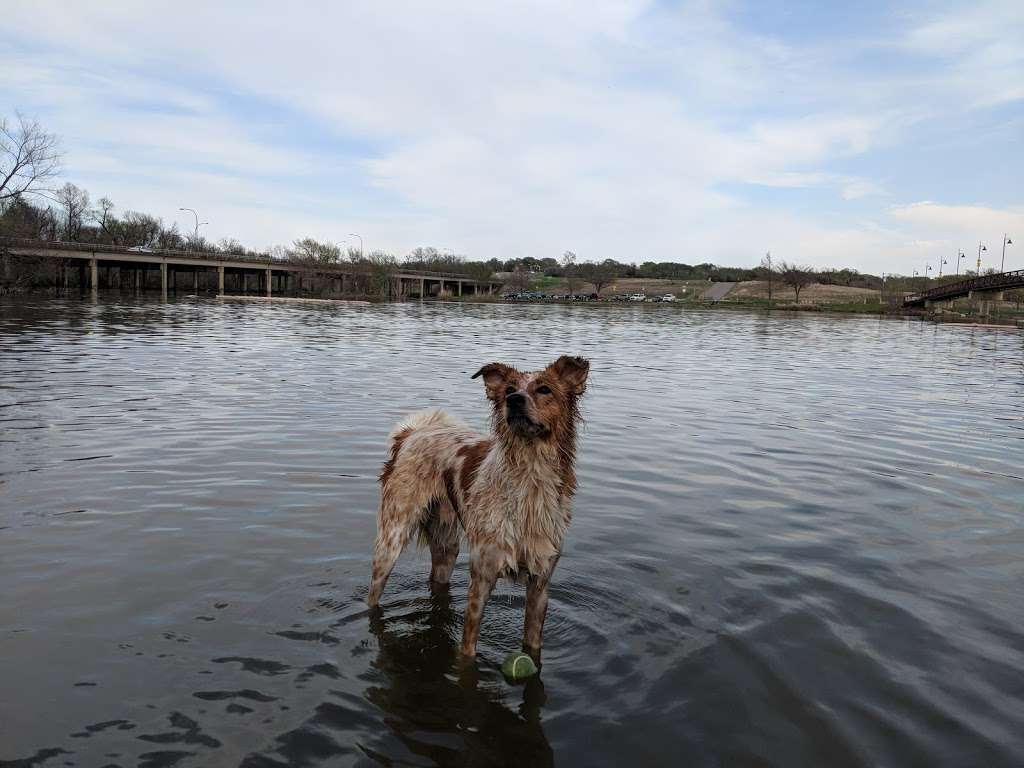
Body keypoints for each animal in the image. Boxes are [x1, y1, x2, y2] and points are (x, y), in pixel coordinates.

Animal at [368, 356, 593, 663]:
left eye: (544, 389)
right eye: (509, 389)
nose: (514, 400)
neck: (529, 479)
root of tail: (411, 433)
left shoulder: (540, 584)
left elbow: (533, 644)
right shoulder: (482, 578)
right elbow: (467, 650)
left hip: (446, 547)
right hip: (391, 541)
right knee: (373, 595)